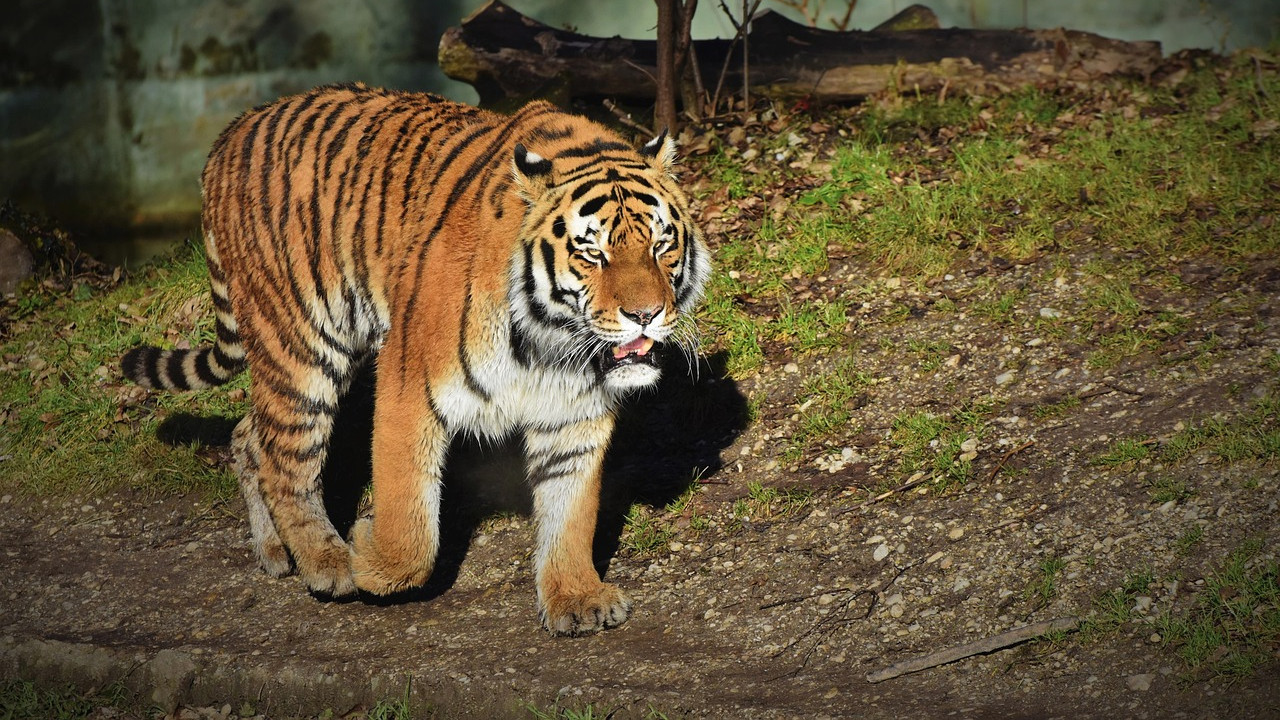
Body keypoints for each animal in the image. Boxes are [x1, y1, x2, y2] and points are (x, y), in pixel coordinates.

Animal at [120, 83, 710, 635]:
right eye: (593, 252)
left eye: (661, 245)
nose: (645, 314)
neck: (550, 341)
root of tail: (232, 131)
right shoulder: (409, 383)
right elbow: (411, 527)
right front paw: (366, 554)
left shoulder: (574, 413)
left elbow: (571, 513)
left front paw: (576, 598)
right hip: (301, 346)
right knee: (286, 461)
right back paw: (326, 561)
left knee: (250, 435)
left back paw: (275, 551)